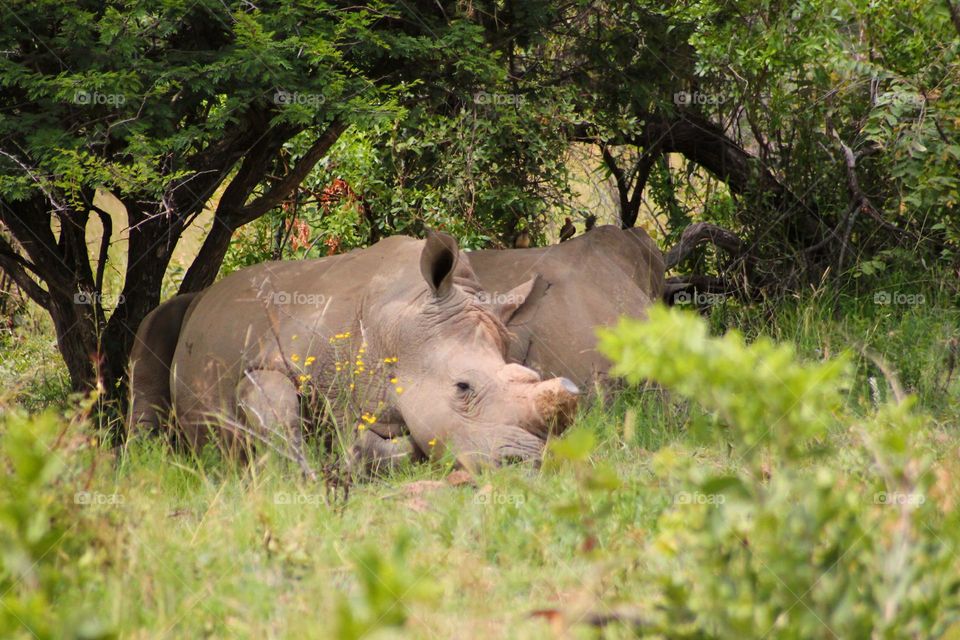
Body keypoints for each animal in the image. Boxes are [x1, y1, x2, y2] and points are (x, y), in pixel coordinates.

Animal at [126, 234, 576, 470]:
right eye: (462, 388)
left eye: (531, 377)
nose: (527, 462)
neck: (399, 321)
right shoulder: (268, 362)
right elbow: (280, 418)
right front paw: (304, 473)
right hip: (177, 311)